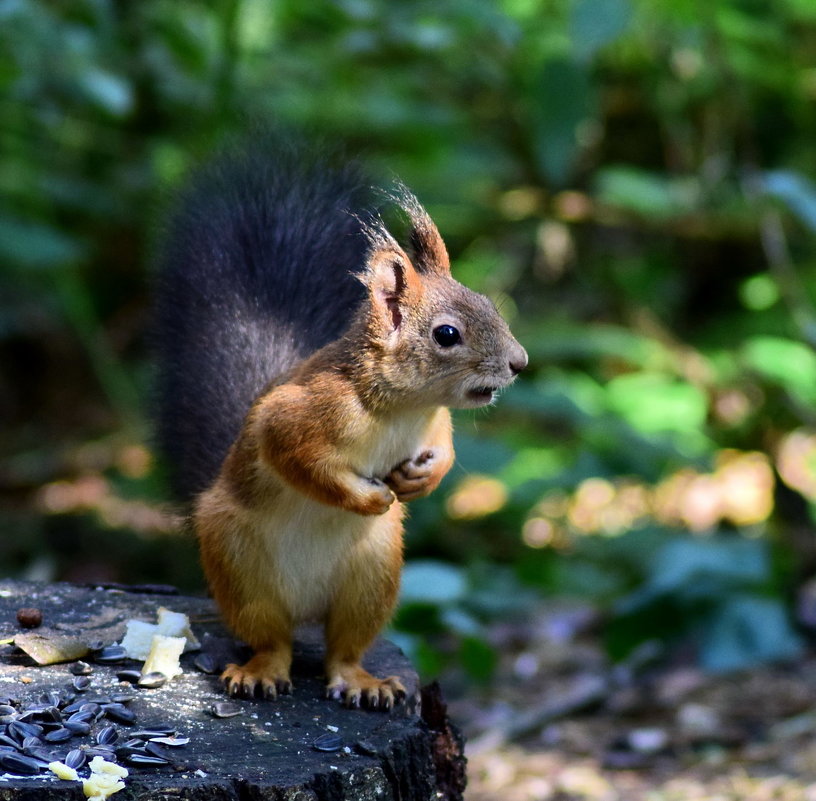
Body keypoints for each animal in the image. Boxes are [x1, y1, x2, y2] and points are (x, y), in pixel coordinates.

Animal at [153, 139, 524, 708]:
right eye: (447, 334)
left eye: (490, 305)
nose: (519, 362)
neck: (403, 408)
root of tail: (305, 609)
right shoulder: (299, 414)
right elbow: (299, 460)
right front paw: (369, 497)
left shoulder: (432, 421)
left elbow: (444, 443)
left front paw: (425, 476)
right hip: (240, 568)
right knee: (271, 639)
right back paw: (260, 672)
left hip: (372, 576)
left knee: (342, 650)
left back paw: (362, 682)